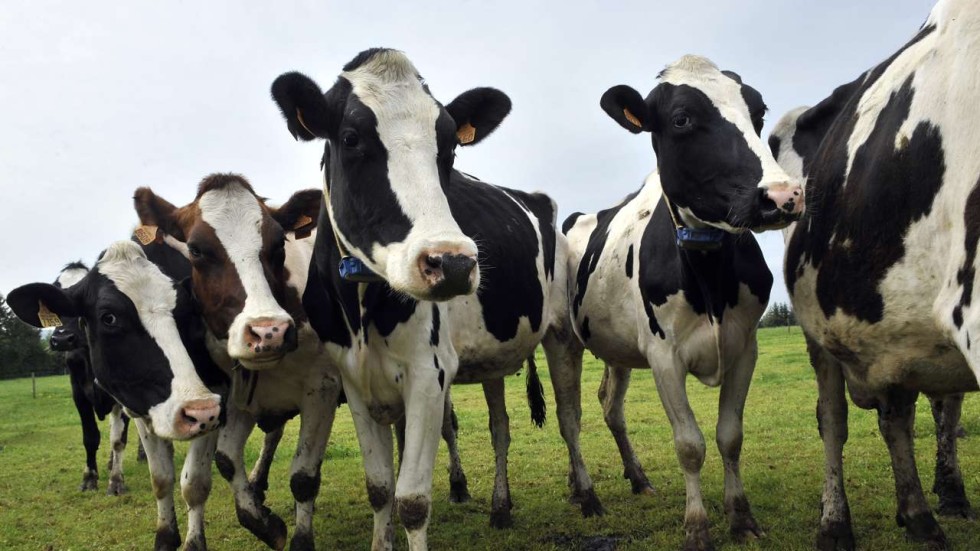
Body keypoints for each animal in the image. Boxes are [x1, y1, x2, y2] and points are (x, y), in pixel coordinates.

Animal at [7, 240, 225, 550]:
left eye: (185, 313)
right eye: (108, 317)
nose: (61, 339)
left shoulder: (215, 399)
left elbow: (192, 483)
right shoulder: (115, 398)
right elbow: (156, 475)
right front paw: (92, 479)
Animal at [134, 177, 342, 550]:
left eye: (279, 243)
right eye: (196, 250)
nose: (268, 331)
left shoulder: (323, 390)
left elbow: (304, 477)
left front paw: (300, 538)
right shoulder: (236, 396)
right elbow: (227, 460)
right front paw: (263, 521)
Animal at [269, 48, 599, 549]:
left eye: (450, 147)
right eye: (350, 138)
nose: (454, 263)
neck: (363, 310)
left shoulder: (428, 372)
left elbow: (412, 500)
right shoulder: (354, 379)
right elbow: (380, 487)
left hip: (562, 333)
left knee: (568, 416)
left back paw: (586, 494)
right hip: (494, 354)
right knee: (501, 428)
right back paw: (501, 507)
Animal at [563, 55, 803, 550]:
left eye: (759, 111)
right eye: (681, 119)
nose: (782, 195)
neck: (708, 277)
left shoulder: (745, 347)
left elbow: (730, 436)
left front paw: (740, 517)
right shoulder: (663, 357)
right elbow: (690, 444)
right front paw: (697, 527)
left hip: (617, 349)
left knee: (610, 406)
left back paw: (633, 478)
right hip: (563, 340)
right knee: (571, 417)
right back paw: (587, 494)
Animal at [768, 1, 980, 548]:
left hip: (900, 327)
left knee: (902, 415)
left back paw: (922, 513)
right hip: (820, 331)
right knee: (833, 420)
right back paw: (835, 523)